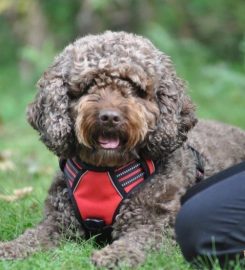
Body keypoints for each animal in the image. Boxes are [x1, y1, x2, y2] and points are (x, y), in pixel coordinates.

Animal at [0, 31, 245, 268]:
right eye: (88, 85)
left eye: (135, 88)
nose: (109, 117)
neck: (104, 168)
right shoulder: (58, 222)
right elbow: (34, 237)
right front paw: (11, 248)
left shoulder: (156, 224)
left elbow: (139, 239)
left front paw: (115, 255)